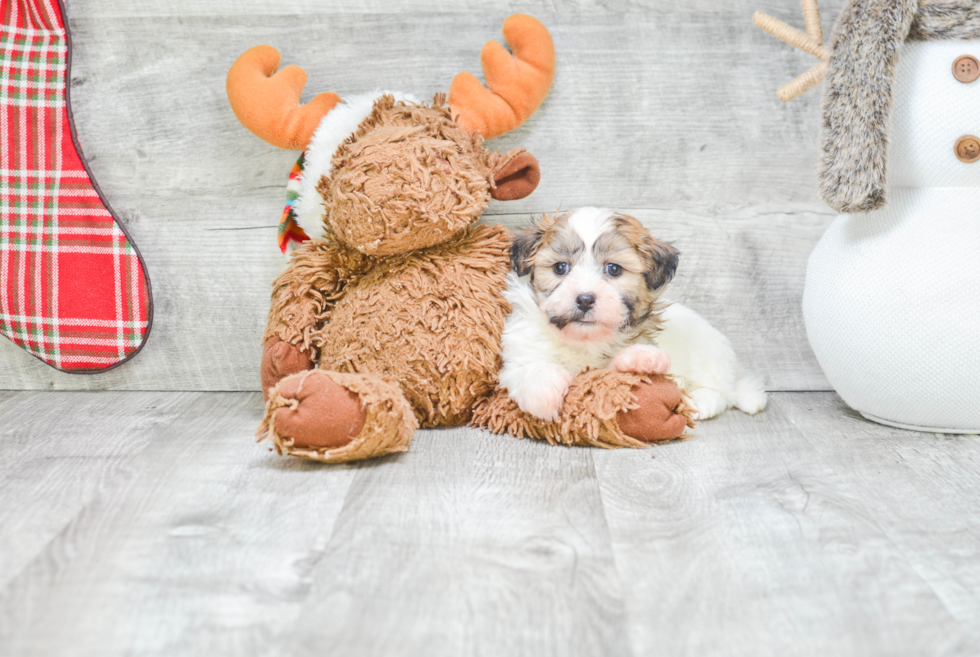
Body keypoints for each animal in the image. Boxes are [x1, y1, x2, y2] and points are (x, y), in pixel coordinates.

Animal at [502, 209, 768, 420]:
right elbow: (532, 367)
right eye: (560, 267)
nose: (585, 299)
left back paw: (700, 404)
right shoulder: (520, 351)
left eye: (613, 269)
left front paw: (642, 359)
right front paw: (544, 397)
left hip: (707, 358)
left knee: (722, 392)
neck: (585, 340)